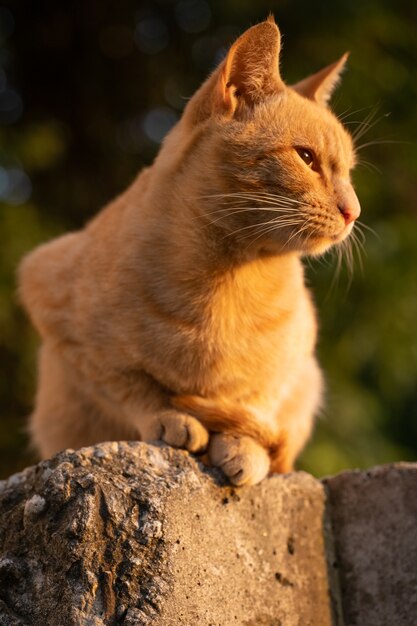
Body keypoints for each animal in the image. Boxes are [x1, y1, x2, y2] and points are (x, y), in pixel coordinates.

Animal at [17, 15, 360, 482]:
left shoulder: (297, 363)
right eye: (306, 158)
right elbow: (131, 386)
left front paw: (243, 447)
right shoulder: (52, 306)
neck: (224, 282)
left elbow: (257, 401)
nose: (354, 211)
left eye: (349, 173)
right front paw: (170, 418)